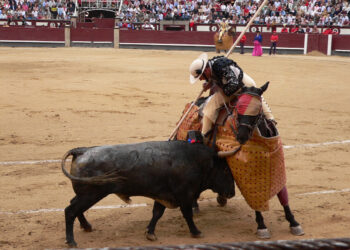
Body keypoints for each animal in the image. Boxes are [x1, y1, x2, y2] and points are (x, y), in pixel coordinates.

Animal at [61, 140, 235, 247]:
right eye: (226, 170)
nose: (232, 193)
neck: (194, 160)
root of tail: (82, 150)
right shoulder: (185, 195)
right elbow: (187, 215)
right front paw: (196, 232)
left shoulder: (163, 194)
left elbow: (157, 213)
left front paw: (150, 233)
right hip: (91, 194)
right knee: (70, 210)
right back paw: (71, 241)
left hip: (85, 194)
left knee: (74, 206)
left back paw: (87, 226)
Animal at [175, 82, 304, 238]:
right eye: (238, 109)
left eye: (257, 110)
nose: (241, 136)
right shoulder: (248, 172)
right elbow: (254, 196)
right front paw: (261, 226)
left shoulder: (276, 163)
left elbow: (282, 194)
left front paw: (294, 222)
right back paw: (194, 205)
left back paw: (221, 198)